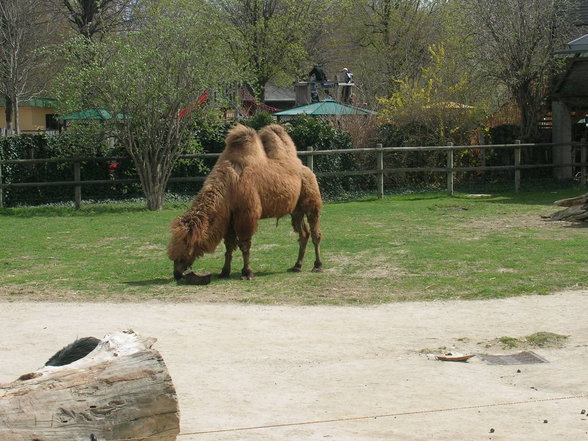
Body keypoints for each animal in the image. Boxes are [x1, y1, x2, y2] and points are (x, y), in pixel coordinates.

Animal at [168, 123, 324, 282]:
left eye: (186, 247)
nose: (177, 273)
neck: (229, 185)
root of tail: (305, 168)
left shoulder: (246, 215)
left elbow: (244, 245)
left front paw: (247, 272)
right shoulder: (229, 217)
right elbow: (229, 245)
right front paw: (224, 271)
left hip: (311, 200)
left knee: (315, 233)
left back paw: (317, 266)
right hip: (296, 210)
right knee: (303, 234)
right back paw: (297, 266)